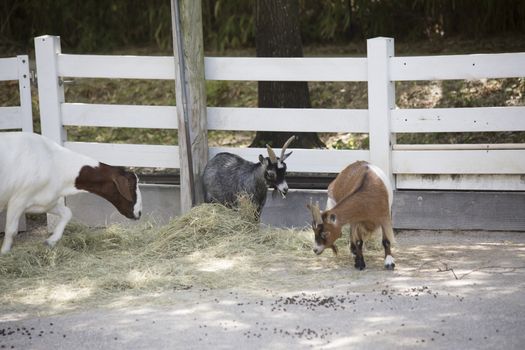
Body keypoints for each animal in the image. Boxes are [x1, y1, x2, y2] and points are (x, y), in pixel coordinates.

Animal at [0, 133, 141, 253]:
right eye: (131, 187)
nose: (139, 213)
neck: (55, 164)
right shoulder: (18, 200)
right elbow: (11, 230)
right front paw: (4, 252)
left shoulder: (44, 201)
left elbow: (67, 213)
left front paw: (51, 240)